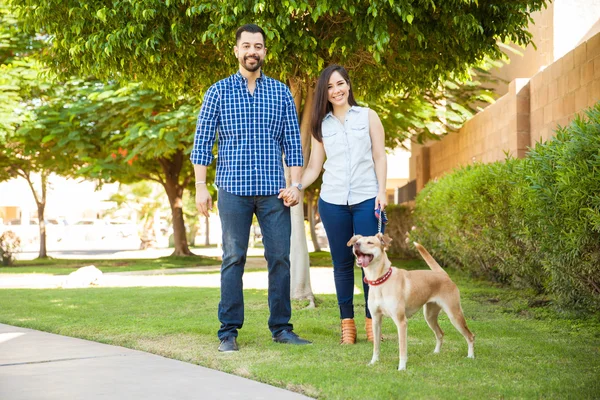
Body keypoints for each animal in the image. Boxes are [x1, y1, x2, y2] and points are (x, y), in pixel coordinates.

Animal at [346, 233, 474, 370]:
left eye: (370, 242)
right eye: (358, 241)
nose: (356, 244)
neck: (380, 280)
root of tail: (443, 274)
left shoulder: (401, 322)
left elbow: (402, 348)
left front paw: (401, 368)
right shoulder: (376, 320)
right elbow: (376, 346)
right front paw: (374, 362)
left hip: (454, 315)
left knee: (470, 336)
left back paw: (471, 356)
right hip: (429, 316)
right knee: (440, 334)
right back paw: (436, 353)